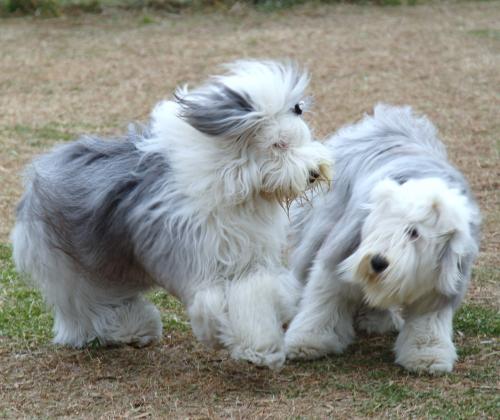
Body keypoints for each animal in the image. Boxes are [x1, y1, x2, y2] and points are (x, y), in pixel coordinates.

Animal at [11, 60, 331, 369]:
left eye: (302, 138)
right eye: (279, 144)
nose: (314, 173)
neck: (234, 182)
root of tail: (45, 165)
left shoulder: (248, 259)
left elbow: (257, 292)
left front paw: (261, 343)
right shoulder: (199, 262)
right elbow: (212, 303)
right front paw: (239, 342)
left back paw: (135, 328)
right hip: (73, 264)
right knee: (85, 304)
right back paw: (116, 331)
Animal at [284, 104, 480, 373]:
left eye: (414, 233)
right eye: (380, 224)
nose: (378, 262)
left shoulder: (439, 284)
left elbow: (427, 322)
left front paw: (427, 356)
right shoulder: (341, 253)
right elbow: (324, 298)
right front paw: (308, 341)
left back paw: (376, 319)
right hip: (321, 229)